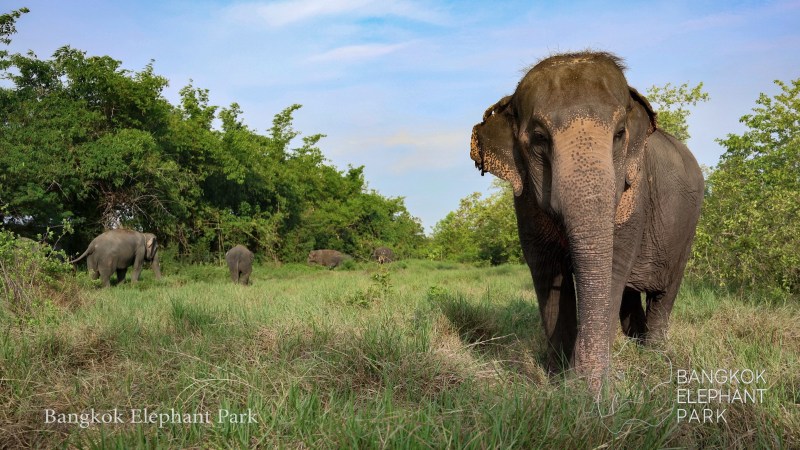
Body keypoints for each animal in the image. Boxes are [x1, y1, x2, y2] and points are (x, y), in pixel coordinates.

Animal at [470, 51, 703, 393]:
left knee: (664, 292)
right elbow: (548, 271)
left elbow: (613, 267)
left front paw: (588, 387)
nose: (588, 387)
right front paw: (560, 380)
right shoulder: (524, 202)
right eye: (539, 138)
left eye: (619, 135)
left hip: (687, 226)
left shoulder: (634, 195)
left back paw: (654, 354)